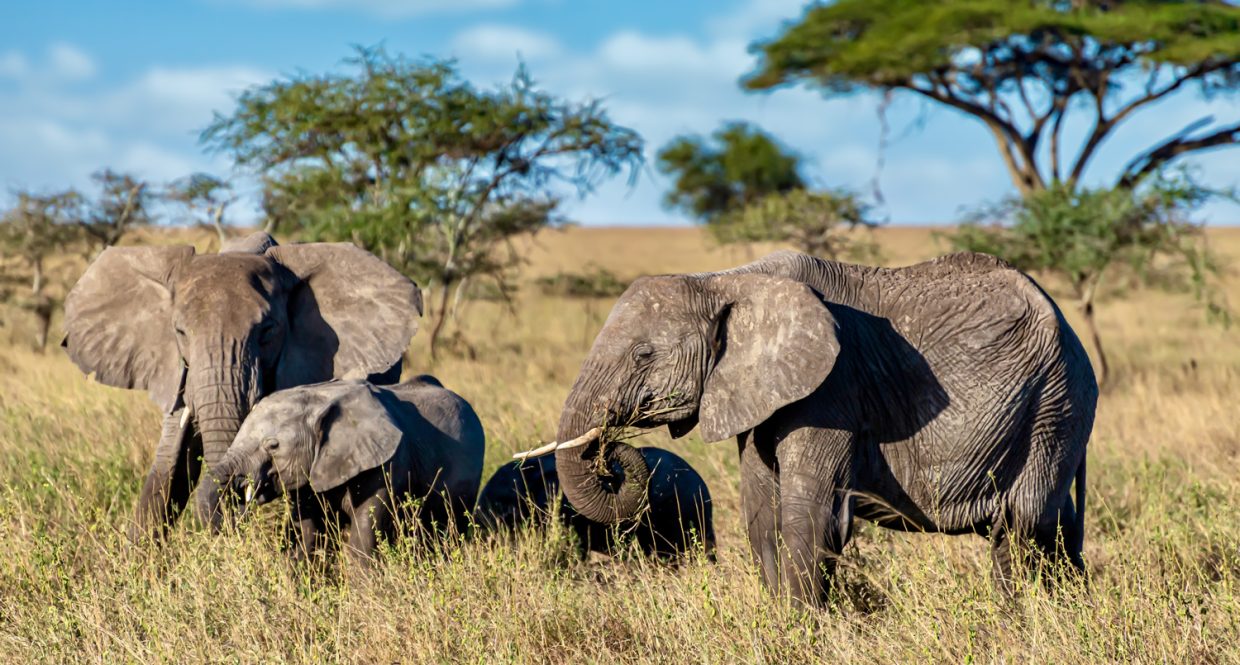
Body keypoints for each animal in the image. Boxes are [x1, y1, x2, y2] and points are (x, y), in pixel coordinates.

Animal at [213, 374, 483, 565]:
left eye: (273, 446)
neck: (320, 396)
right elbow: (307, 538)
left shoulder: (385, 465)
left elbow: (361, 541)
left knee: (446, 535)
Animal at [523, 250, 1096, 607]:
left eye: (644, 355)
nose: (614, 455)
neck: (727, 280)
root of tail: (1069, 326)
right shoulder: (758, 393)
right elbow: (760, 511)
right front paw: (779, 623)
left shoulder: (832, 388)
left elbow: (809, 515)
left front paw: (802, 629)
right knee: (1055, 529)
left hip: (1054, 404)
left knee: (1020, 525)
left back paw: (1016, 622)